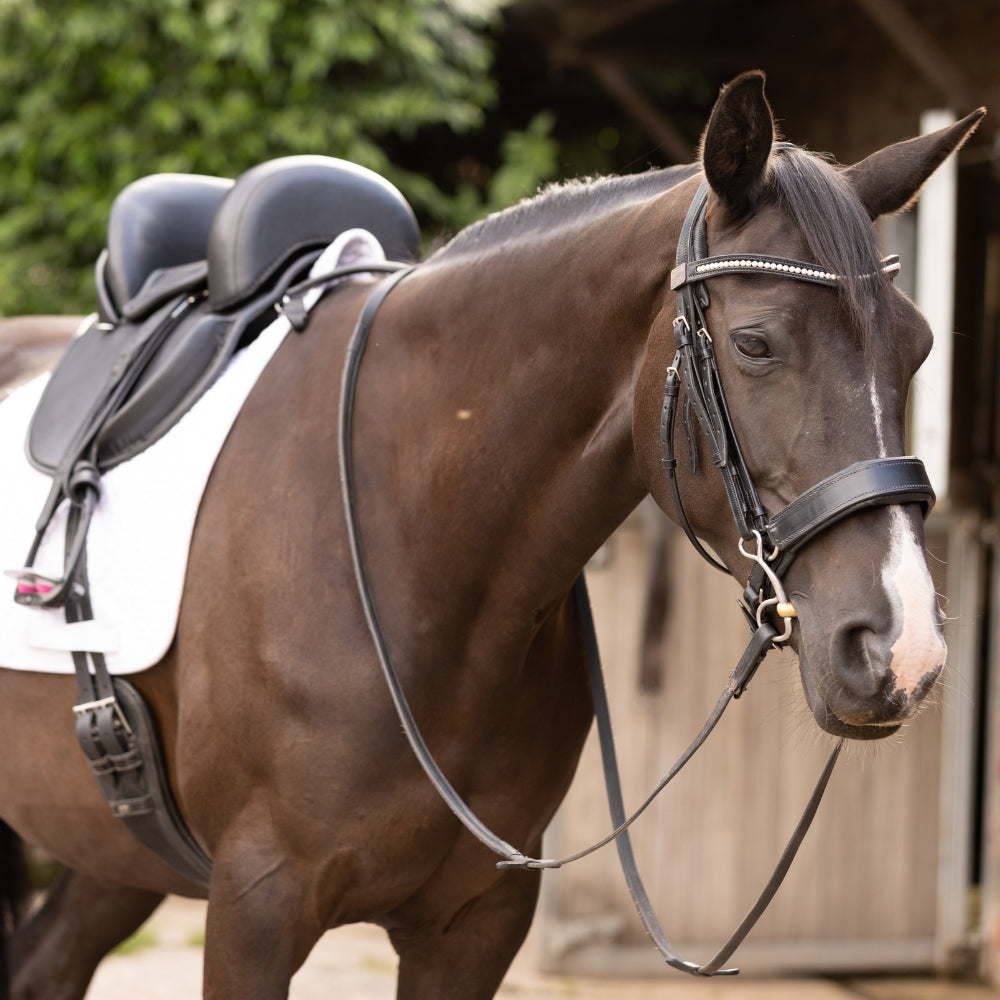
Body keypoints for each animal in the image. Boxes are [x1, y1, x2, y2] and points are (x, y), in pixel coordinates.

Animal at [0, 71, 983, 999]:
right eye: (753, 343)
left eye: (921, 348)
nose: (902, 649)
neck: (418, 553)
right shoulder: (257, 905)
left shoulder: (477, 921)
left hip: (112, 854)